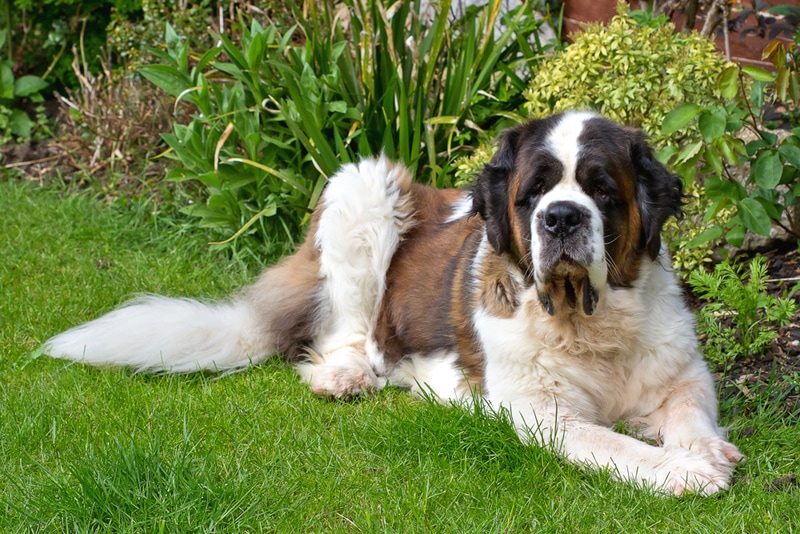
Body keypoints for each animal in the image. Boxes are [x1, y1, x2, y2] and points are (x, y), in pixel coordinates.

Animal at [45, 112, 744, 498]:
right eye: (534, 194)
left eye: (602, 190)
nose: (563, 218)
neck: (586, 322)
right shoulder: (542, 413)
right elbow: (616, 445)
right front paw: (684, 471)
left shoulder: (683, 372)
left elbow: (689, 408)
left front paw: (705, 450)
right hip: (361, 189)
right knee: (346, 336)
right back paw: (346, 376)